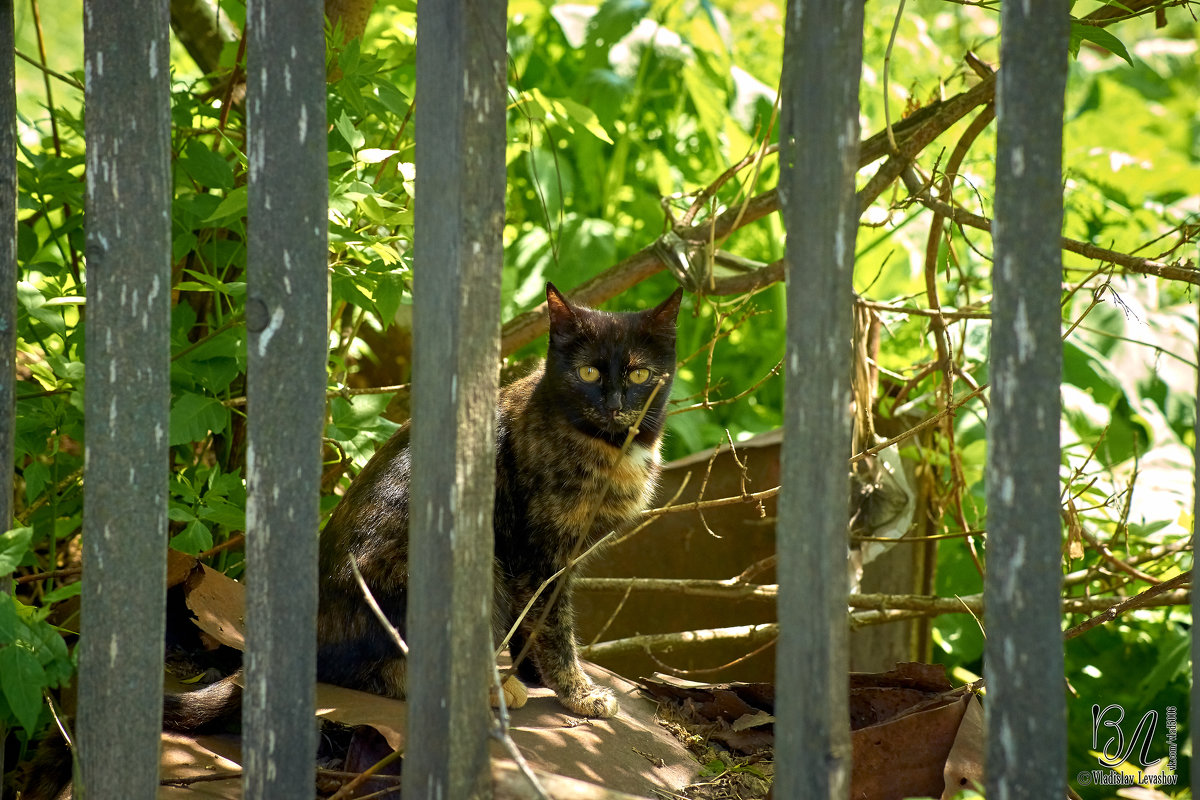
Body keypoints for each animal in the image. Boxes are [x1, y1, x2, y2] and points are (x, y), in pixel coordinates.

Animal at [314, 283, 681, 719]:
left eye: (639, 374)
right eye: (587, 372)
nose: (613, 406)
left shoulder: (554, 560)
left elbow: (533, 621)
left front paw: (537, 676)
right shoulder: (538, 554)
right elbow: (553, 627)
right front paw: (579, 693)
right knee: (379, 671)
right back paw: (492, 689)